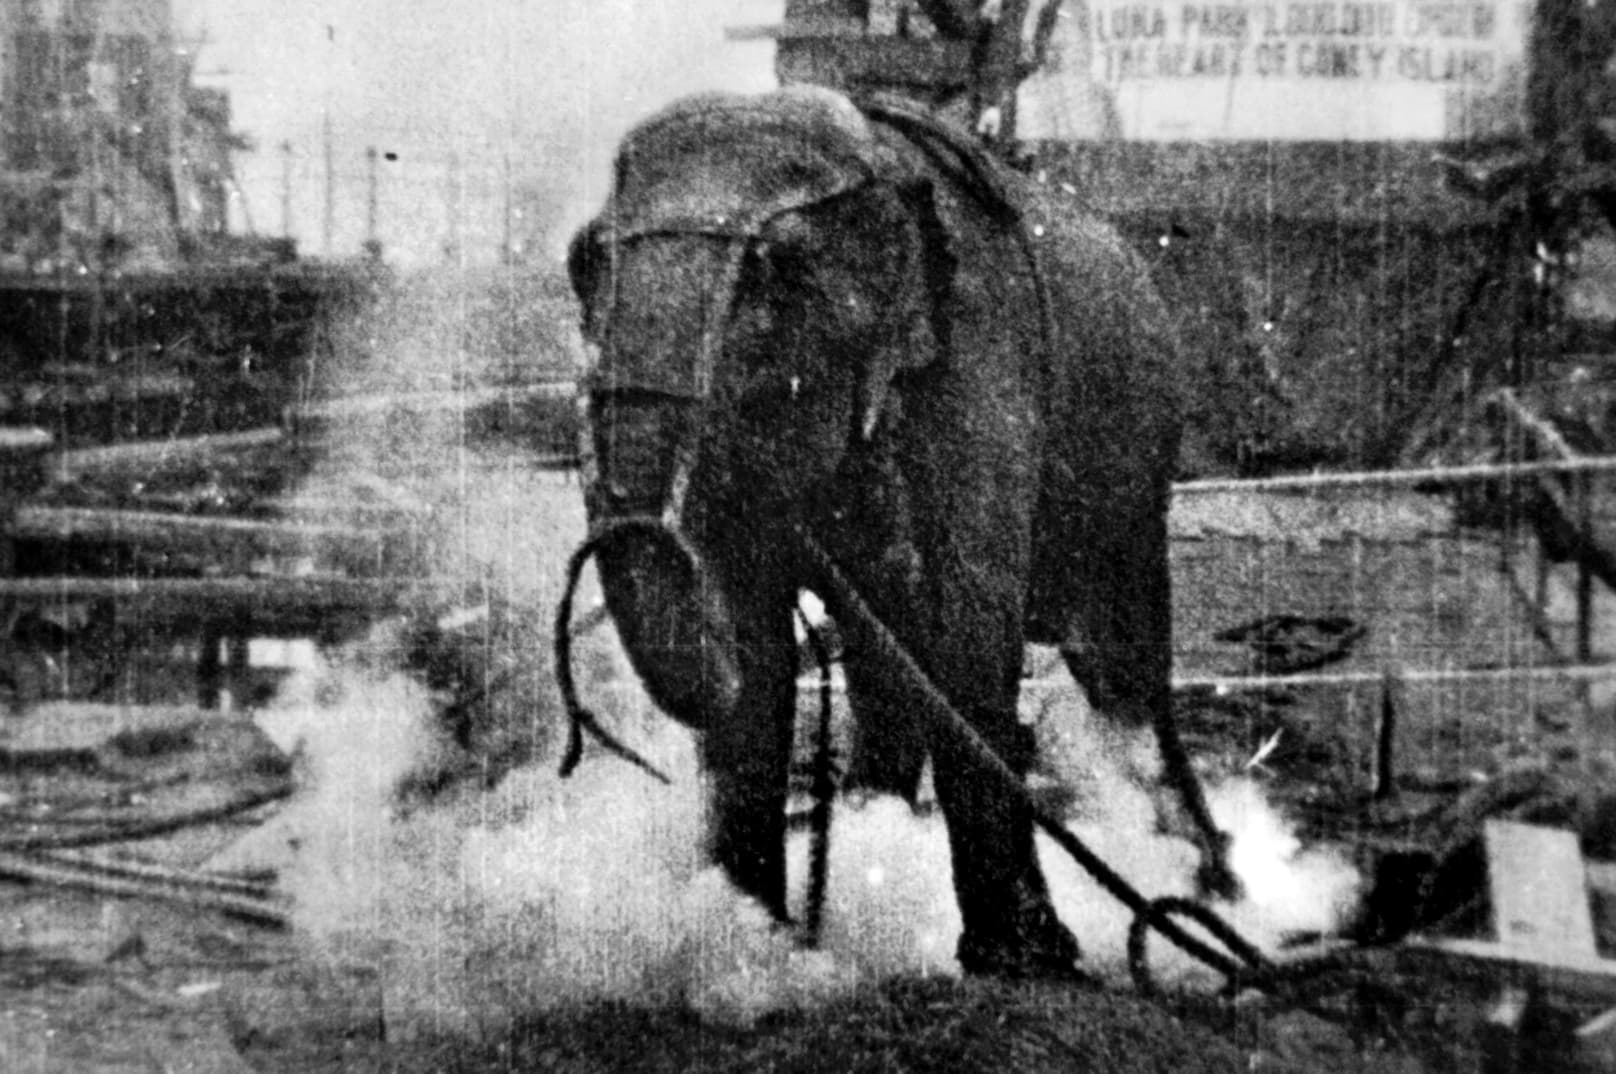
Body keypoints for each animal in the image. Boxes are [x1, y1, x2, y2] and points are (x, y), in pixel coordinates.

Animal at [562, 88, 1228, 975]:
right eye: (583, 262)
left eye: (776, 270)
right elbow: (758, 649)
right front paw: (751, 944)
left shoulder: (984, 356)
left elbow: (960, 629)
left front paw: (1027, 961)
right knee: (887, 656)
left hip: (1136, 462)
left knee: (1120, 666)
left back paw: (1211, 888)